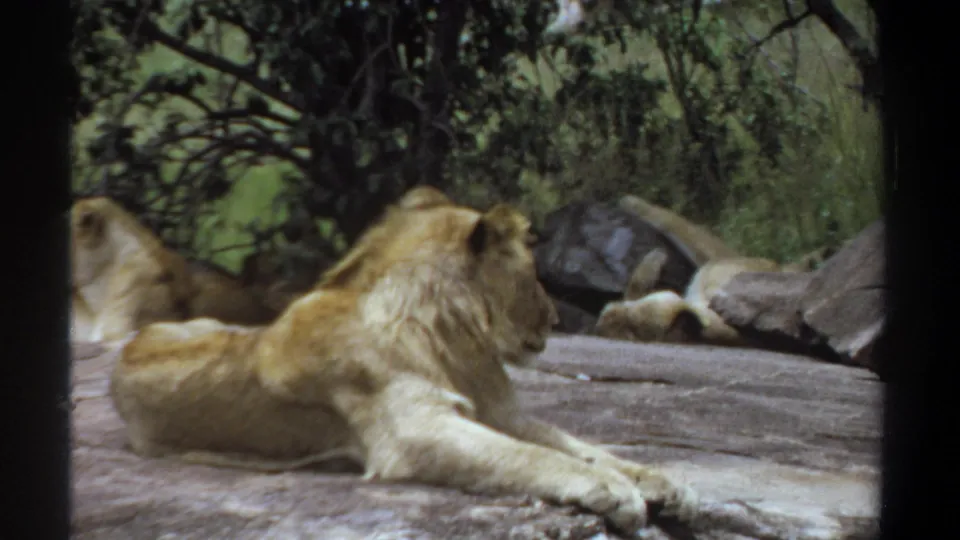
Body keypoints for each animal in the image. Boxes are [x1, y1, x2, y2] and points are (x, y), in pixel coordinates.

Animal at [109, 189, 699, 534]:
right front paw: (614, 492)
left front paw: (659, 481)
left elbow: (579, 445)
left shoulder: (499, 412)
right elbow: (532, 457)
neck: (452, 338)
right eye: (534, 274)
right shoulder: (415, 430)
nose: (556, 318)